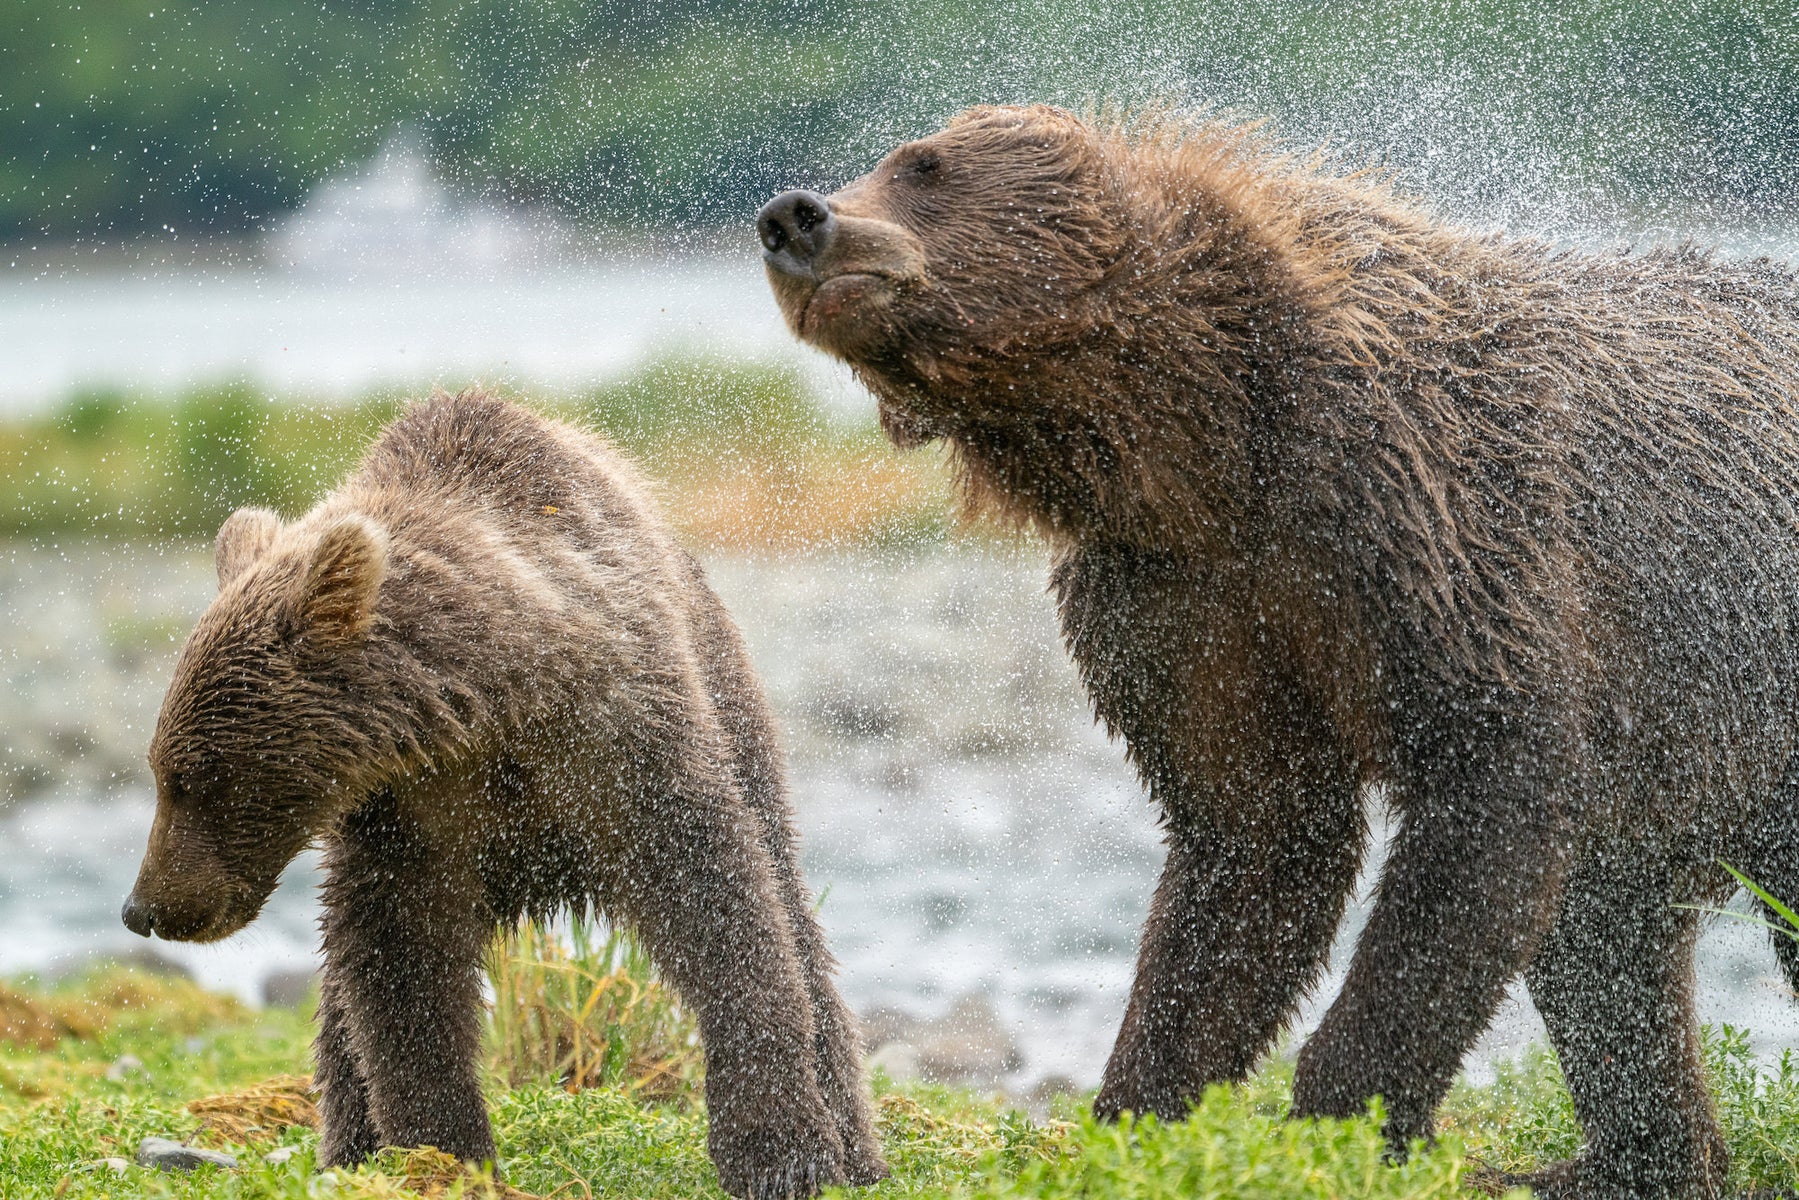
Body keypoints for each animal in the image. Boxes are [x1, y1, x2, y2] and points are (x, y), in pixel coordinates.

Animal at [121, 389, 886, 1200]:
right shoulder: (410, 816)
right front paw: (440, 1152)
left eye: (193, 779)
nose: (143, 909)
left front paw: (783, 1150)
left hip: (728, 694)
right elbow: (399, 969)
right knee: (340, 1003)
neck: (491, 712)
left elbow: (719, 906)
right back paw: (349, 1148)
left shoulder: (622, 746)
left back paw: (856, 1145)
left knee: (789, 902)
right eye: (162, 770)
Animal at [757, 104, 1799, 1199]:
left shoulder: (1428, 523)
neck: (1206, 444)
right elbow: (1254, 848)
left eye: (925, 168)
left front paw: (1339, 1119)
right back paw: (1628, 1158)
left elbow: (1480, 805)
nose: (793, 217)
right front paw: (1141, 1113)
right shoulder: (1181, 603)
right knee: (1604, 940)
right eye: (889, 163)